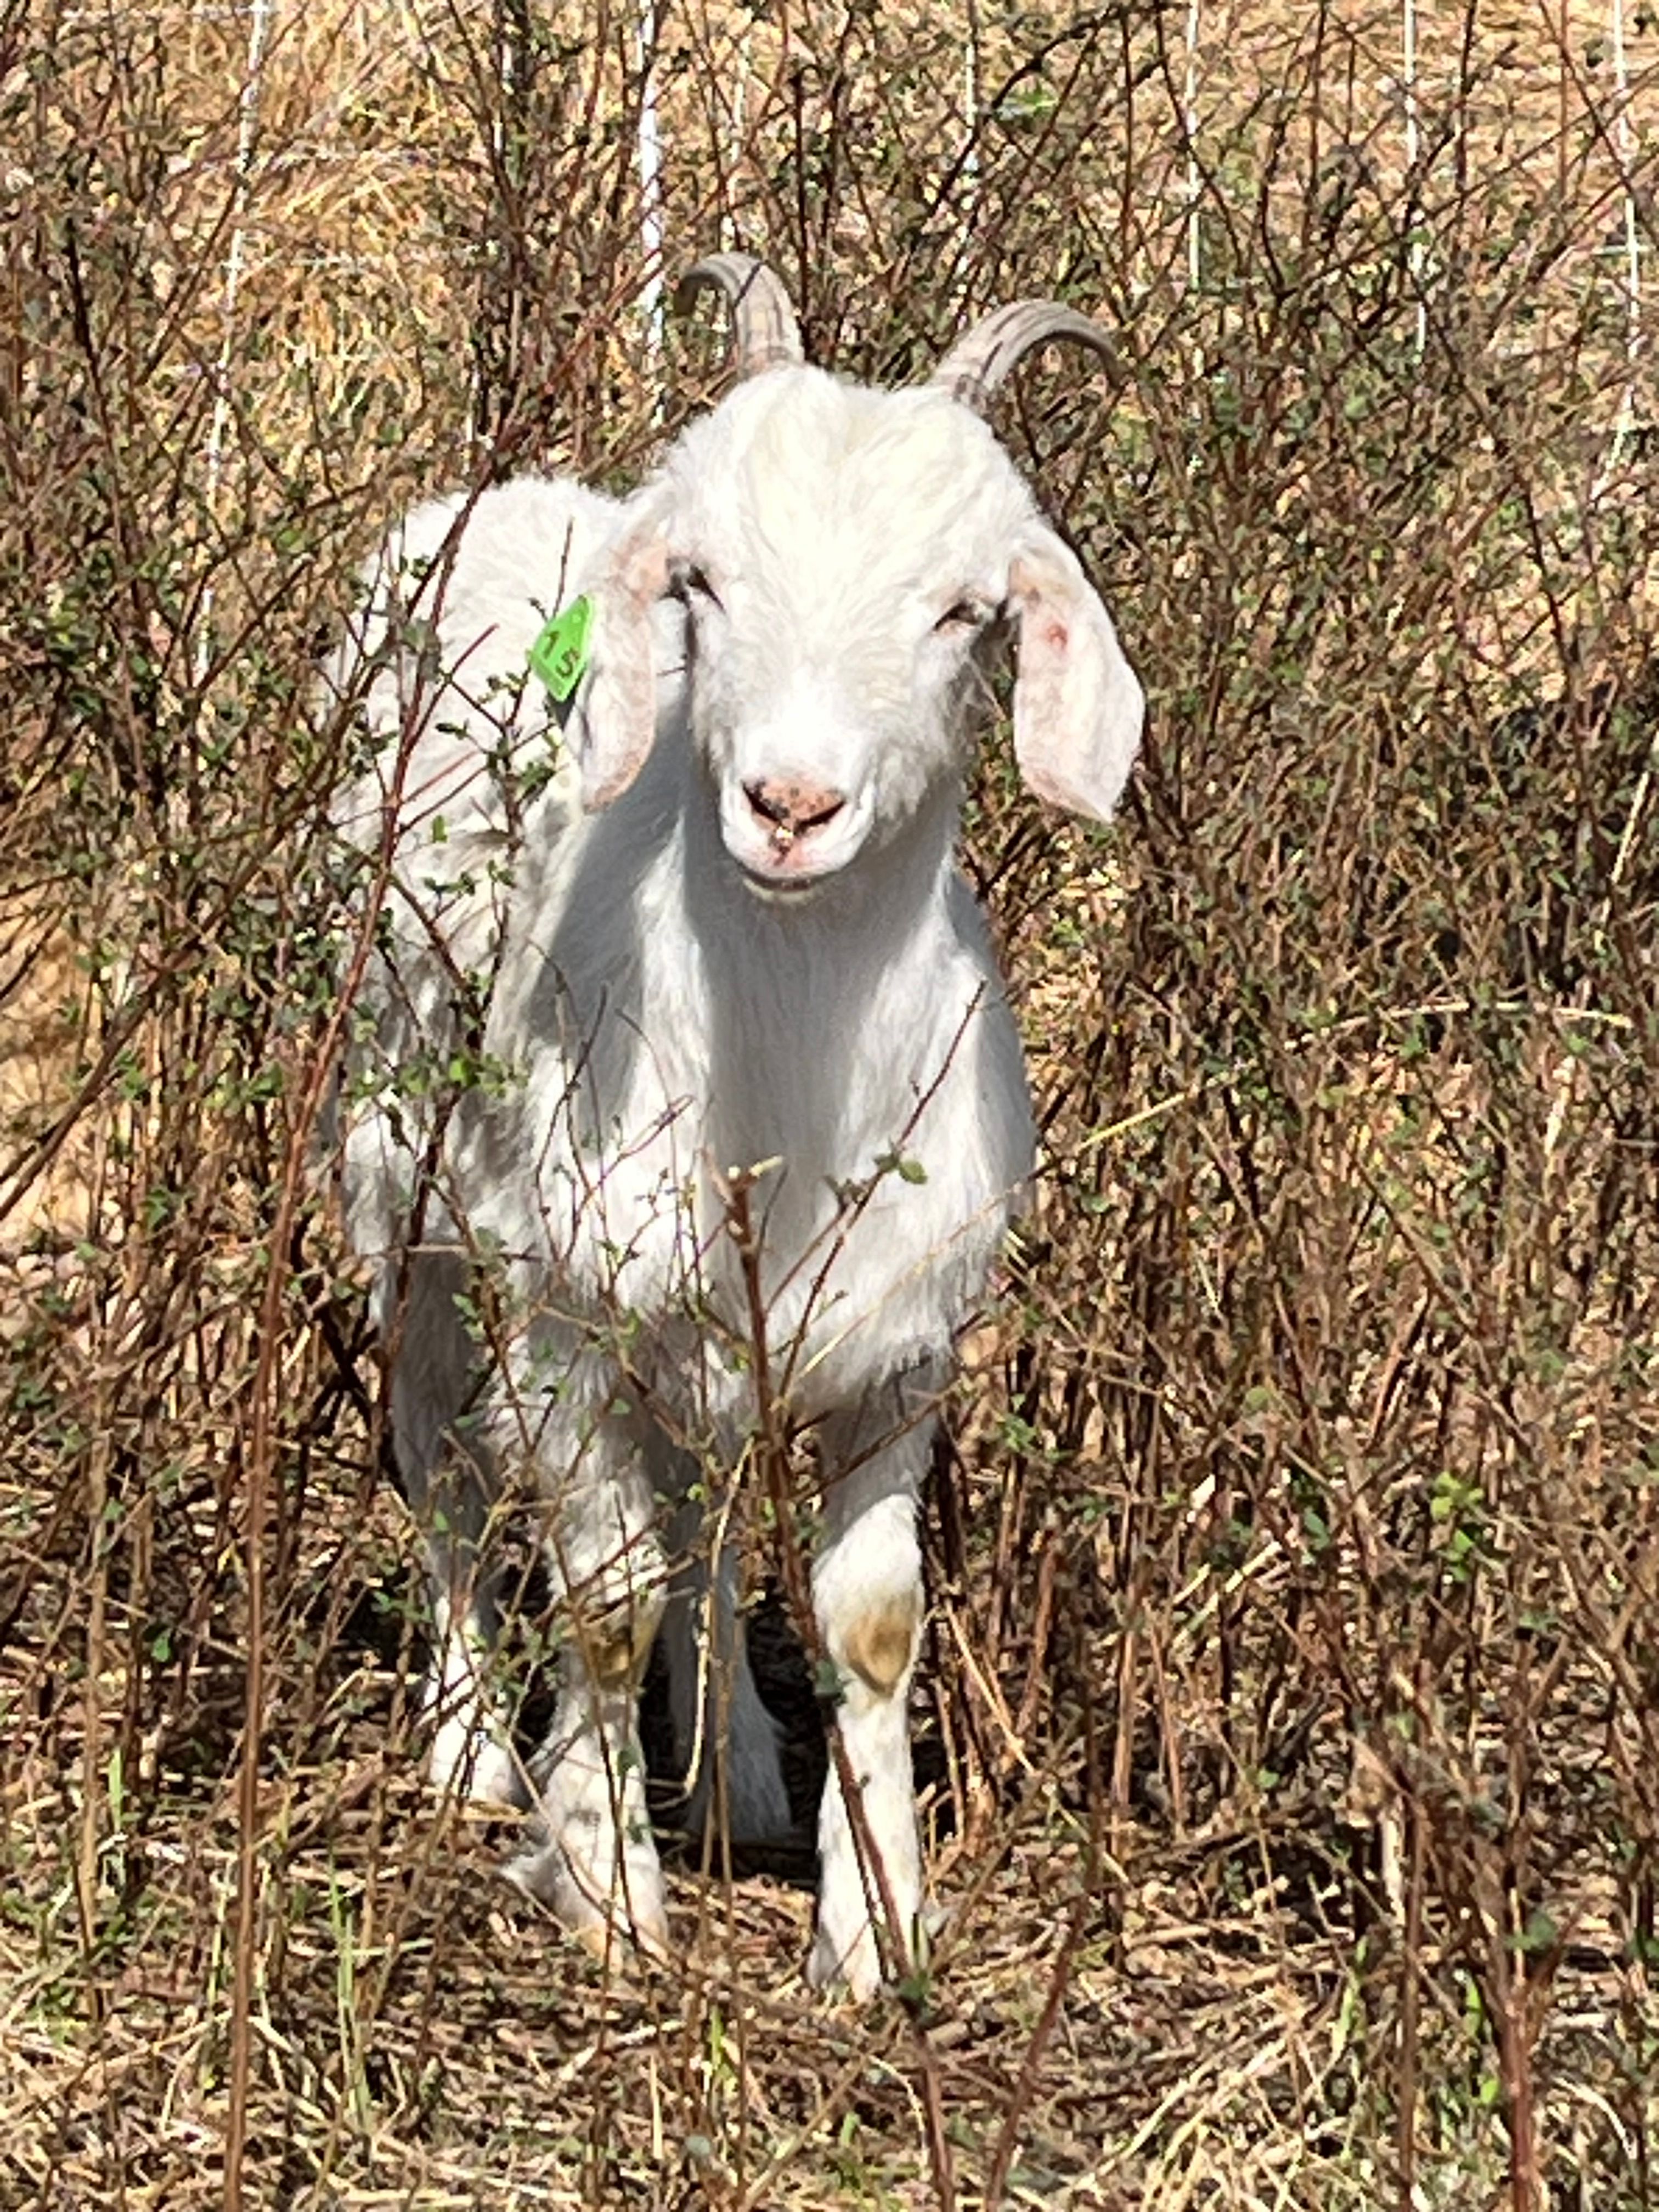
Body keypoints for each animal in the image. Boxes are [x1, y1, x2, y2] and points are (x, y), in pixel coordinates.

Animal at [328, 256, 1144, 1998]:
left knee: (701, 1496)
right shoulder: (561, 1305)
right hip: (398, 1181)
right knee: (438, 1454)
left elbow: (870, 1624)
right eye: (697, 584)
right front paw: (604, 1884)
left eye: (965, 613)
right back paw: (469, 1748)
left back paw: (735, 1776)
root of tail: (504, 497)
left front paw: (876, 1927)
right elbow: (605, 1590)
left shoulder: (907, 1343)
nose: (789, 805)